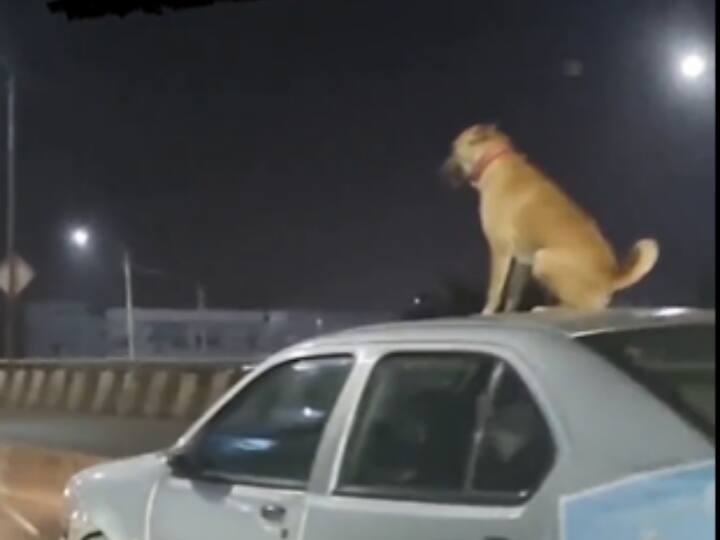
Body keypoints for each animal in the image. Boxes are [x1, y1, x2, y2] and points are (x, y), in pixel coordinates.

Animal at [438, 124, 660, 314]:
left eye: (453, 148)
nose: (440, 170)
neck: (493, 160)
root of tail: (610, 276)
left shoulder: (500, 249)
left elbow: (495, 289)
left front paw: (487, 313)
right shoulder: (522, 261)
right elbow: (512, 294)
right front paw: (509, 313)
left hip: (543, 259)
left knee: (580, 305)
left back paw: (548, 308)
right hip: (538, 260)